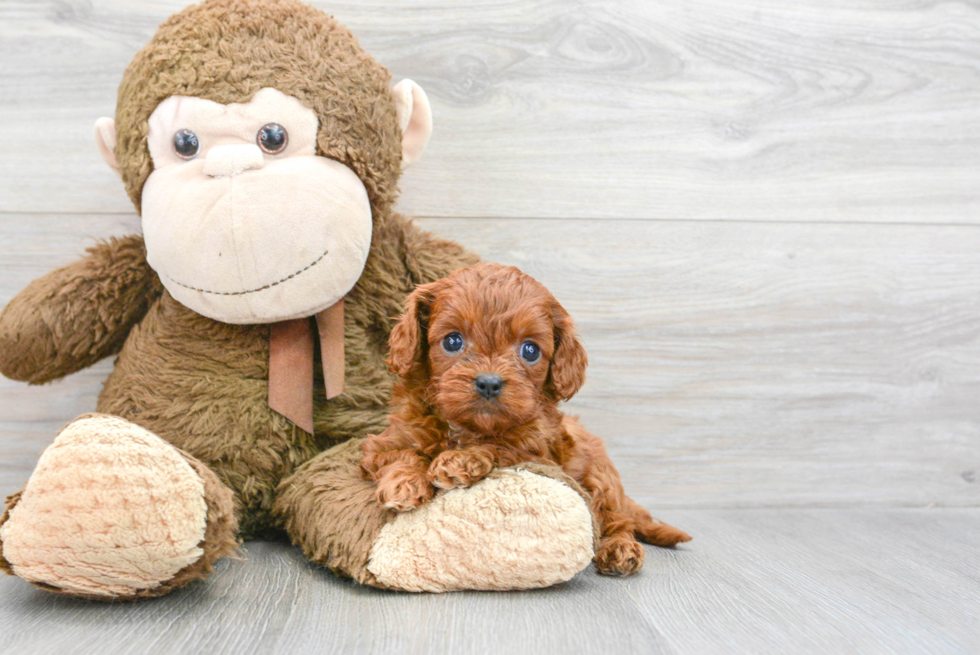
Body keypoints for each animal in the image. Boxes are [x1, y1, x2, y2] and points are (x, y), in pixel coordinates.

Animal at [360, 264, 688, 576]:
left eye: (530, 350)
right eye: (453, 341)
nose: (489, 383)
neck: (467, 428)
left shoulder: (538, 453)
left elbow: (503, 446)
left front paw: (459, 460)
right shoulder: (381, 444)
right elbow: (401, 453)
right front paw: (404, 483)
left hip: (600, 479)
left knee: (615, 520)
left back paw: (620, 549)